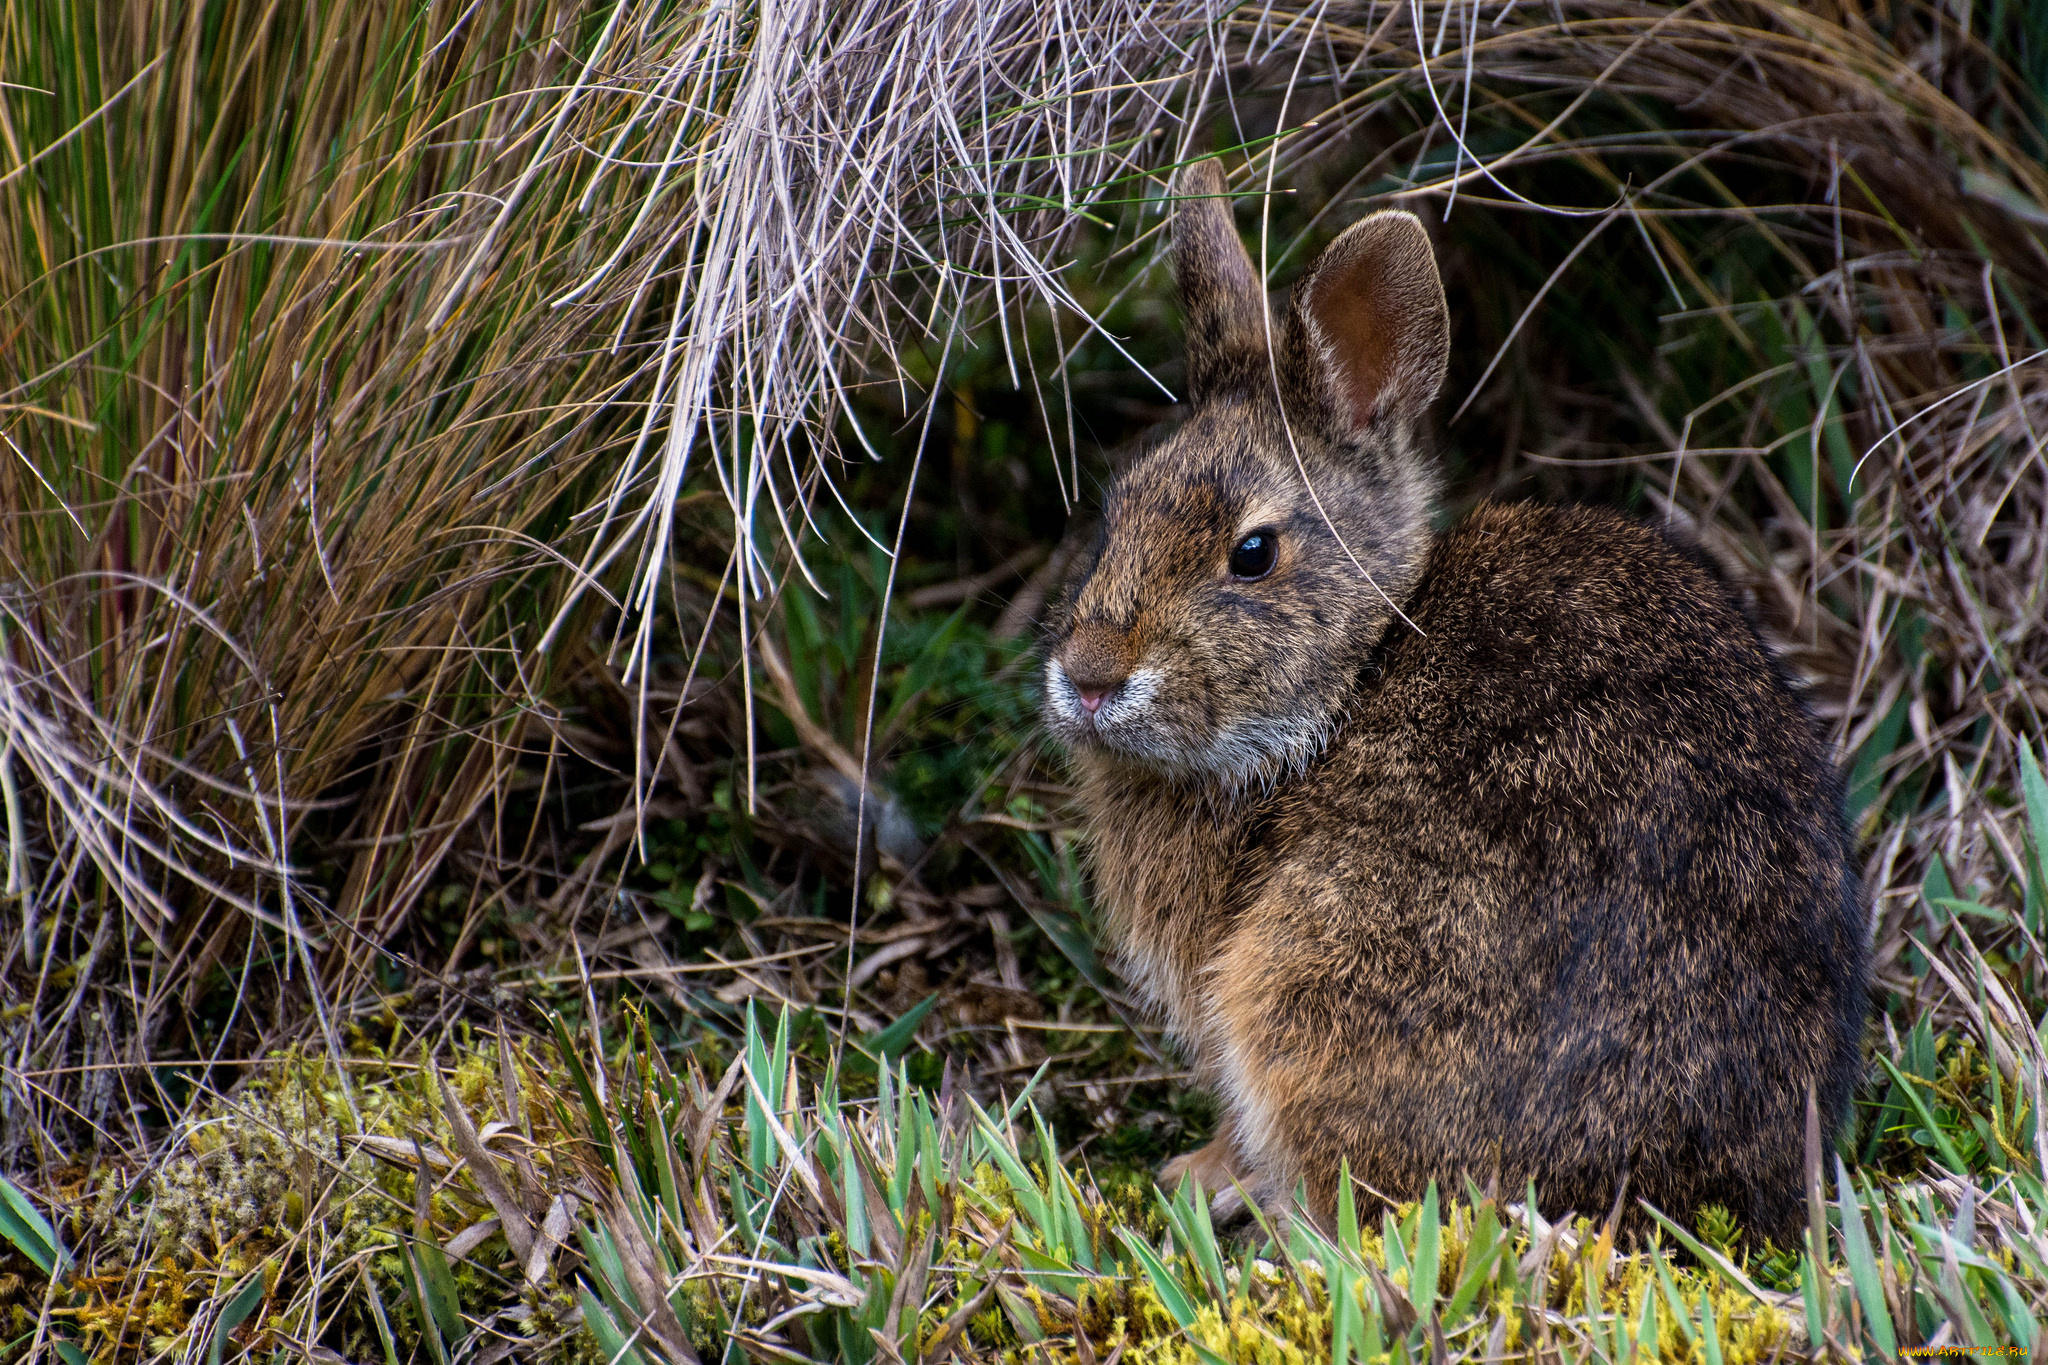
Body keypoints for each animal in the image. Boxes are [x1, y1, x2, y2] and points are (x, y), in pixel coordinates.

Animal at [1048, 160, 1867, 1236]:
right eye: (1113, 513)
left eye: (1253, 552)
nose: (1089, 677)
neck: (1357, 672)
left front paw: (1201, 1169)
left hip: (1310, 976)